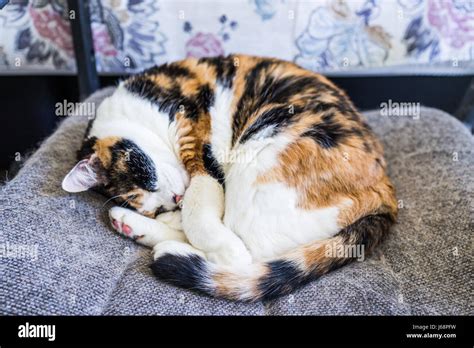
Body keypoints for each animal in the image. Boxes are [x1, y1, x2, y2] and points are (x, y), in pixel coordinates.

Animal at [62, 54, 396, 302]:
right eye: (153, 206)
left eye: (147, 178)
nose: (174, 201)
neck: (134, 108)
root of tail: (386, 195)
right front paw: (160, 218)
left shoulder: (198, 149)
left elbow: (200, 217)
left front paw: (206, 232)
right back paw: (131, 225)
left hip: (258, 158)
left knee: (244, 256)